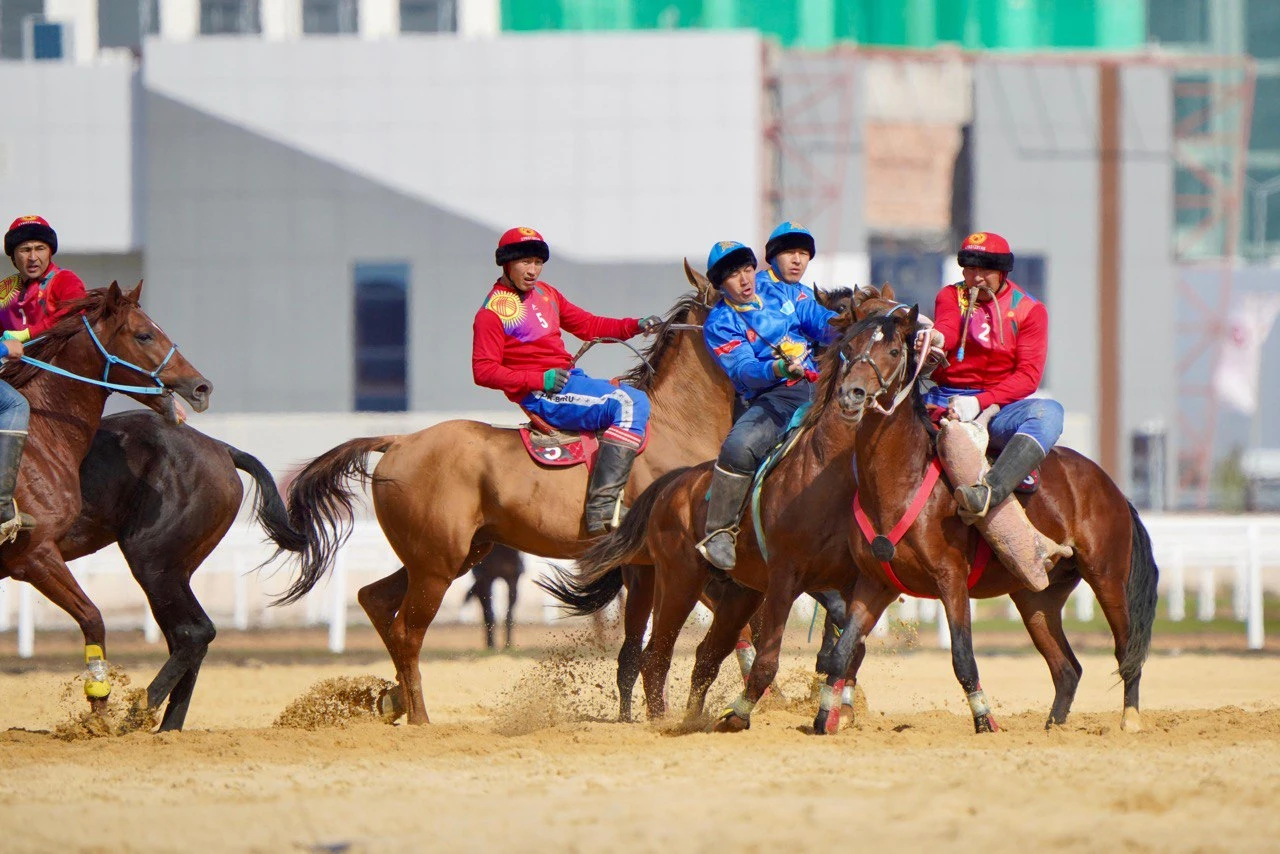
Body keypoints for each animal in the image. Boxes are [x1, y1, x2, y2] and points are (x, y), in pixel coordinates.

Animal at [0, 284, 212, 711]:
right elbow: (93, 618)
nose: (199, 387)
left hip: (158, 565)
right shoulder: (34, 555)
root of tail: (226, 453)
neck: (44, 435)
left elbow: (92, 618)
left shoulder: (33, 556)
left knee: (192, 633)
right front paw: (98, 703)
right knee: (190, 634)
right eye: (144, 335)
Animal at [58, 409, 304, 732]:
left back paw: (135, 716)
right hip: (175, 571)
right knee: (188, 634)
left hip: (152, 562)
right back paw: (167, 727)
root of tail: (222, 448)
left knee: (194, 632)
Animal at [282, 263, 742, 727]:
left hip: (450, 556)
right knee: (406, 633)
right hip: (436, 566)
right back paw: (419, 718)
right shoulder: (678, 559)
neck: (673, 427)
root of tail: (398, 441)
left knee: (375, 600)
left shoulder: (643, 565)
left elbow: (638, 651)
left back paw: (394, 699)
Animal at [540, 289, 901, 727]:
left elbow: (843, 629)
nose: (856, 394)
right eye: (856, 332)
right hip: (674, 580)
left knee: (677, 655)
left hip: (698, 583)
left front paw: (836, 699)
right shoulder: (775, 572)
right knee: (653, 657)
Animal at [721, 311, 1162, 737]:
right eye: (849, 347)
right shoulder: (874, 583)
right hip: (1036, 598)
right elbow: (843, 651)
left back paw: (1130, 719)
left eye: (894, 351)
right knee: (1066, 668)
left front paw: (985, 720)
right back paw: (1054, 727)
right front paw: (825, 718)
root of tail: (1109, 485)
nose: (852, 394)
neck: (900, 482)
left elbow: (962, 656)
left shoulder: (951, 579)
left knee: (1126, 649)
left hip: (1107, 576)